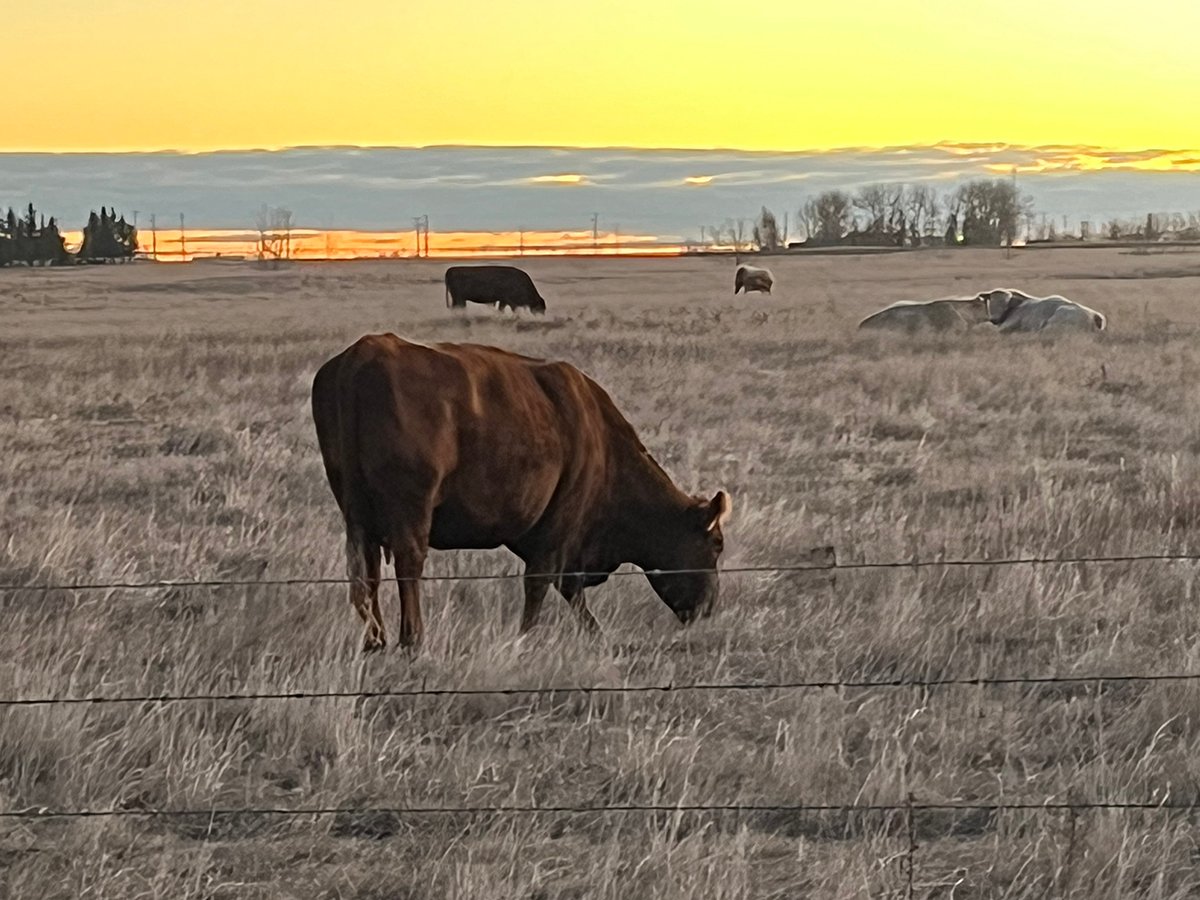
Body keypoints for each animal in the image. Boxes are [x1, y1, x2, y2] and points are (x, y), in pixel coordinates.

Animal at [311, 334, 732, 653]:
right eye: (716, 545)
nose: (709, 607)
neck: (600, 438)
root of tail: (364, 353)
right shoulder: (560, 526)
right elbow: (544, 583)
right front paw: (525, 638)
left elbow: (569, 589)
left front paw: (596, 635)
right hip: (411, 510)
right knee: (408, 566)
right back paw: (412, 640)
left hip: (357, 515)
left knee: (364, 573)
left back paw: (375, 642)